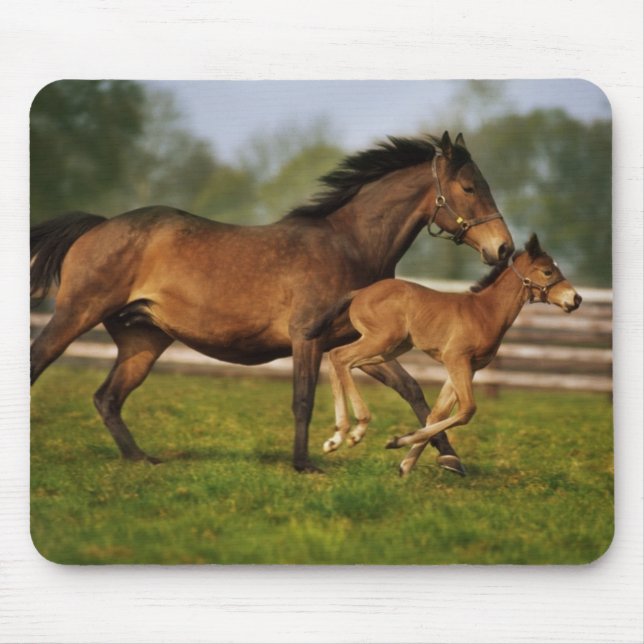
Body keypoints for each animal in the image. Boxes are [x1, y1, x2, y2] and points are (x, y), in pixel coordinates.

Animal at [30, 131, 514, 474]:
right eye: (469, 187)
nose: (504, 249)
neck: (349, 245)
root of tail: (98, 225)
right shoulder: (308, 337)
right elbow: (303, 399)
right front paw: (306, 463)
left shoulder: (360, 342)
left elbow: (413, 391)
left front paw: (449, 459)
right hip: (76, 315)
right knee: (41, 364)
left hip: (142, 341)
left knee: (107, 398)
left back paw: (141, 459)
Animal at [311, 234, 581, 476]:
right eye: (547, 271)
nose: (576, 299)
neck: (485, 312)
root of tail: (359, 292)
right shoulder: (456, 359)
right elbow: (467, 409)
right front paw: (398, 441)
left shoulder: (467, 367)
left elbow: (437, 413)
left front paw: (406, 464)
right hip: (381, 340)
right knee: (341, 356)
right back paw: (356, 430)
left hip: (391, 348)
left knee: (338, 359)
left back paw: (337, 436)